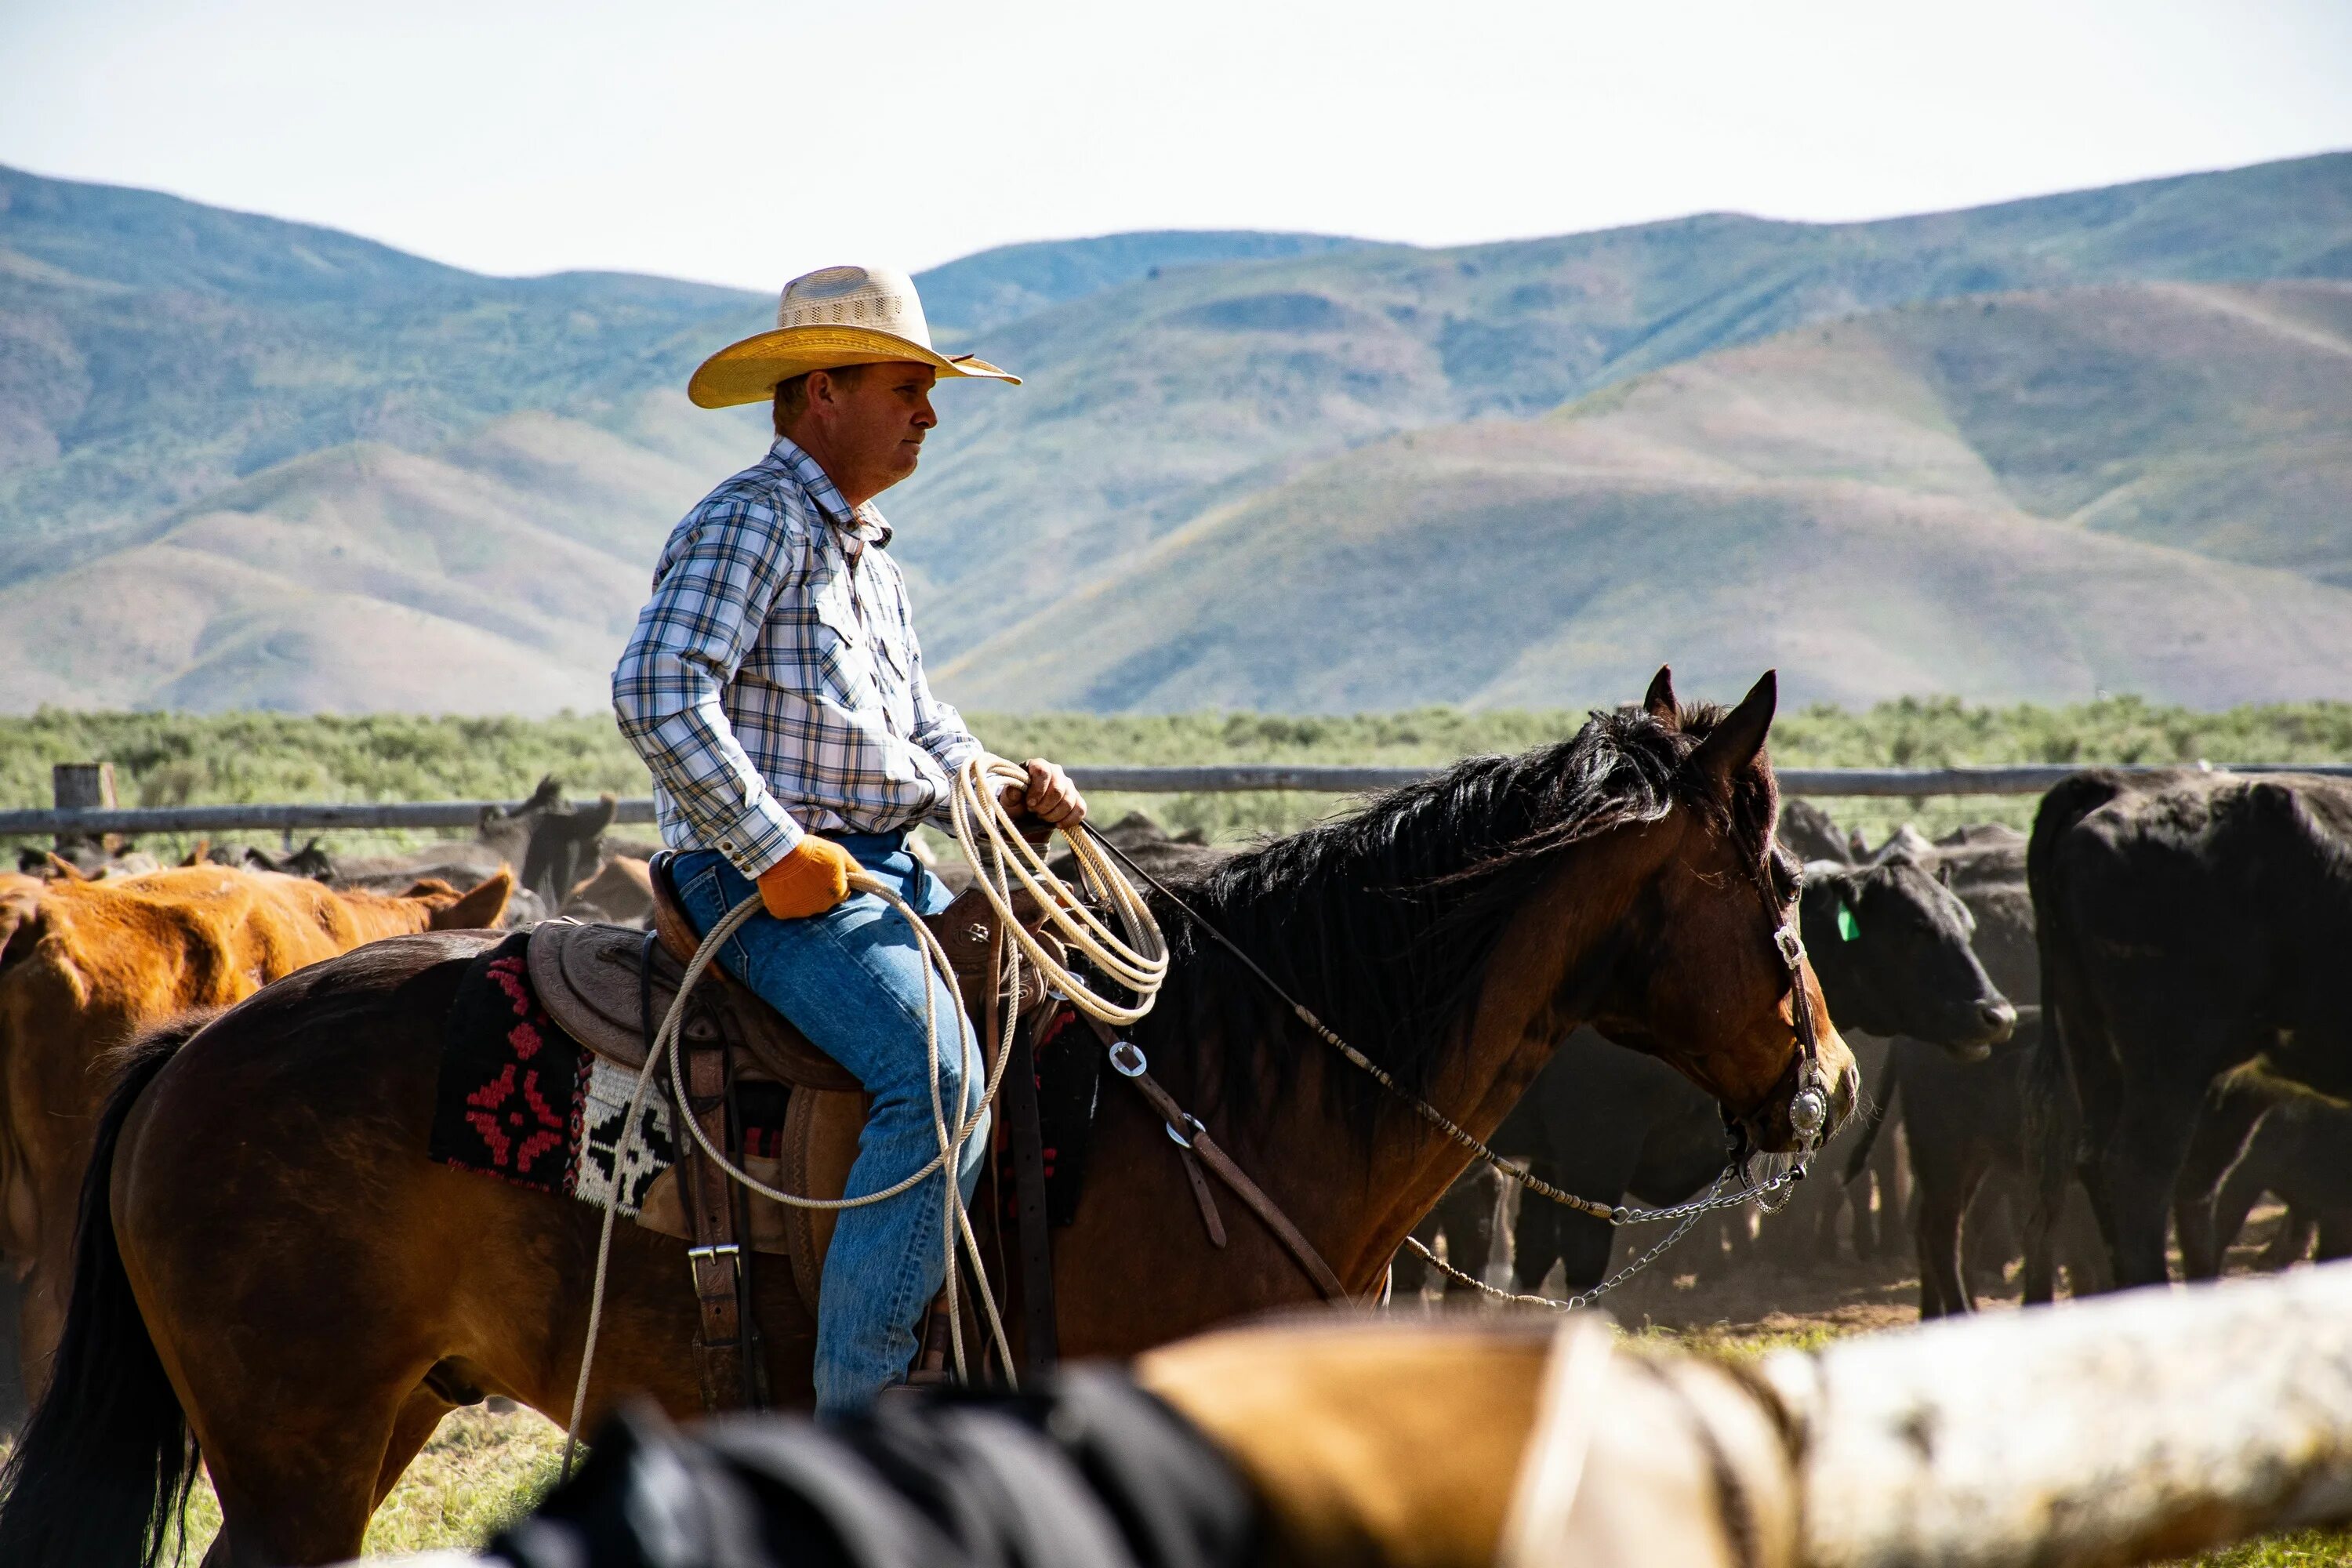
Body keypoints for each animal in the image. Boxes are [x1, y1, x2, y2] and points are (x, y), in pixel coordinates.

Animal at [0, 667, 1853, 1568]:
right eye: (1776, 886)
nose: (1827, 1085)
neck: (1236, 1081)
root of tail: (198, 1048)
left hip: (368, 1423)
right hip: (301, 1453)